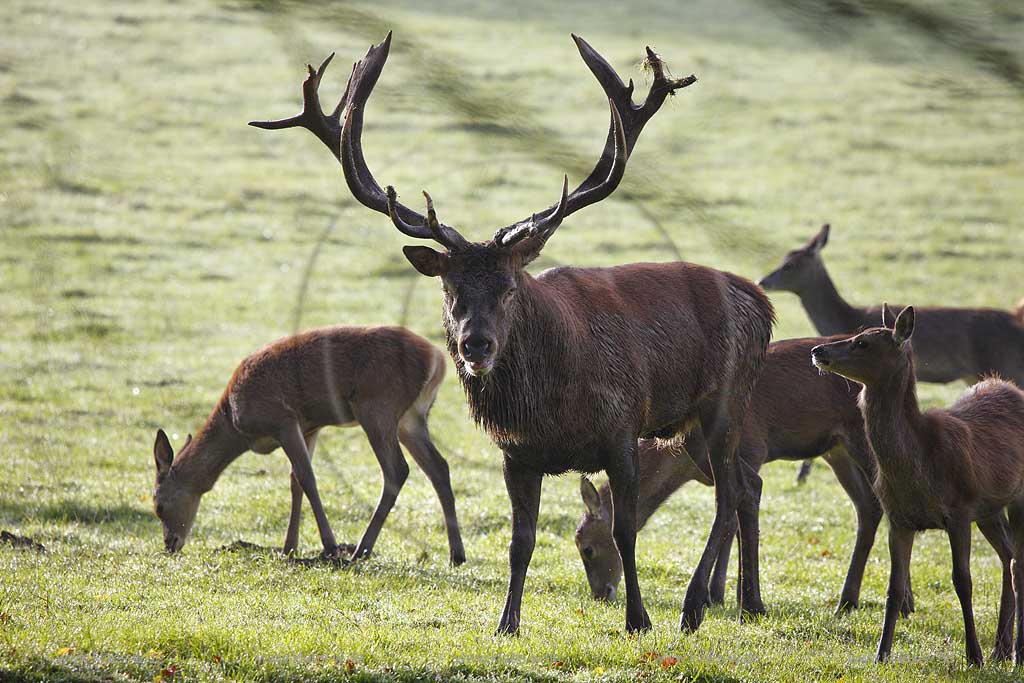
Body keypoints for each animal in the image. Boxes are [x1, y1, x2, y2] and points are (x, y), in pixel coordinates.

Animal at [150, 325, 464, 565]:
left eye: (158, 505)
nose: (170, 543)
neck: (235, 423)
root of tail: (436, 359)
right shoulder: (309, 427)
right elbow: (295, 481)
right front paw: (289, 547)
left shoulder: (283, 419)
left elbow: (307, 477)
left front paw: (330, 547)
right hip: (411, 418)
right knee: (439, 467)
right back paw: (456, 554)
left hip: (377, 406)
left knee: (397, 470)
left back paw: (361, 550)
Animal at [251, 29, 770, 634]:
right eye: (449, 287)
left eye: (509, 286)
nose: (475, 344)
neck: (555, 407)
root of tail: (763, 304)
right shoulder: (515, 452)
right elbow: (520, 541)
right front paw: (506, 622)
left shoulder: (622, 431)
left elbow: (624, 529)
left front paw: (638, 619)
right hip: (692, 424)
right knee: (742, 489)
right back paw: (749, 602)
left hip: (727, 400)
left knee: (728, 495)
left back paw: (693, 606)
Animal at [577, 335, 913, 614]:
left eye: (587, 548)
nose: (601, 594)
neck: (682, 466)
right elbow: (731, 519)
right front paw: (721, 593)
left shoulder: (753, 448)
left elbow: (735, 519)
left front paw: (721, 595)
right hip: (837, 450)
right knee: (868, 507)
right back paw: (852, 600)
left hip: (862, 439)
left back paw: (900, 602)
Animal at [806, 307, 1024, 663]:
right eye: (857, 333)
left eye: (862, 342)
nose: (817, 350)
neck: (920, 469)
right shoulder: (899, 518)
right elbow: (894, 587)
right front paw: (881, 653)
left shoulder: (960, 510)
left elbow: (962, 581)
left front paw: (973, 656)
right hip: (989, 510)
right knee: (1008, 557)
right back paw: (1002, 649)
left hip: (1013, 499)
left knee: (1017, 562)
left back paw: (1012, 651)